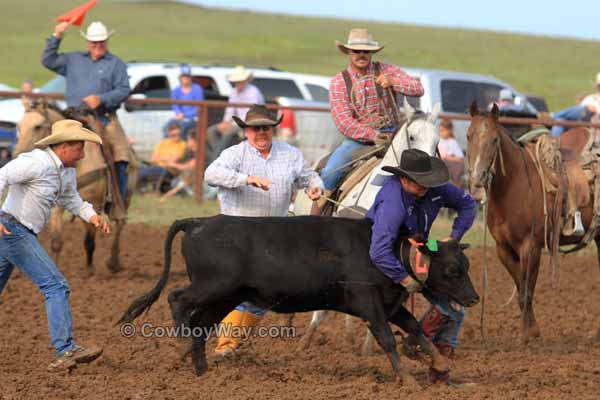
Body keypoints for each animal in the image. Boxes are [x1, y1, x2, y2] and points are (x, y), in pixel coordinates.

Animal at [16, 98, 139, 274]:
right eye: (19, 126)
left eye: (37, 126)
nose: (17, 154)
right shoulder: (57, 206)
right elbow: (57, 242)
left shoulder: (95, 203)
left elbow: (89, 239)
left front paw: (90, 271)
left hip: (126, 196)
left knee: (120, 223)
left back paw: (113, 262)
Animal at [468, 101, 600, 342]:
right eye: (469, 136)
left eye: (494, 140)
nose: (477, 178)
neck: (514, 185)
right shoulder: (503, 249)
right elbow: (521, 288)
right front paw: (532, 330)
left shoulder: (531, 246)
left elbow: (527, 292)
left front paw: (527, 336)